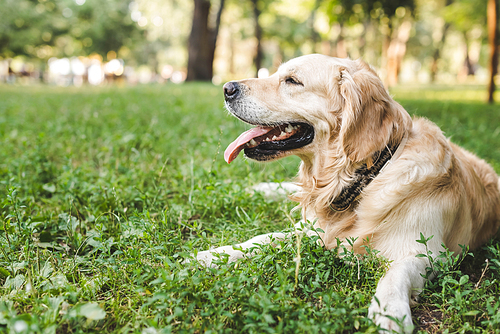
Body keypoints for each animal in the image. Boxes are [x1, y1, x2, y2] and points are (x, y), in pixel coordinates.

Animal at [194, 54, 500, 332]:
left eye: (292, 81)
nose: (227, 88)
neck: (366, 176)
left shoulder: (428, 253)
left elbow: (396, 273)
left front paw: (389, 312)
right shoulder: (312, 230)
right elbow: (263, 238)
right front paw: (213, 255)